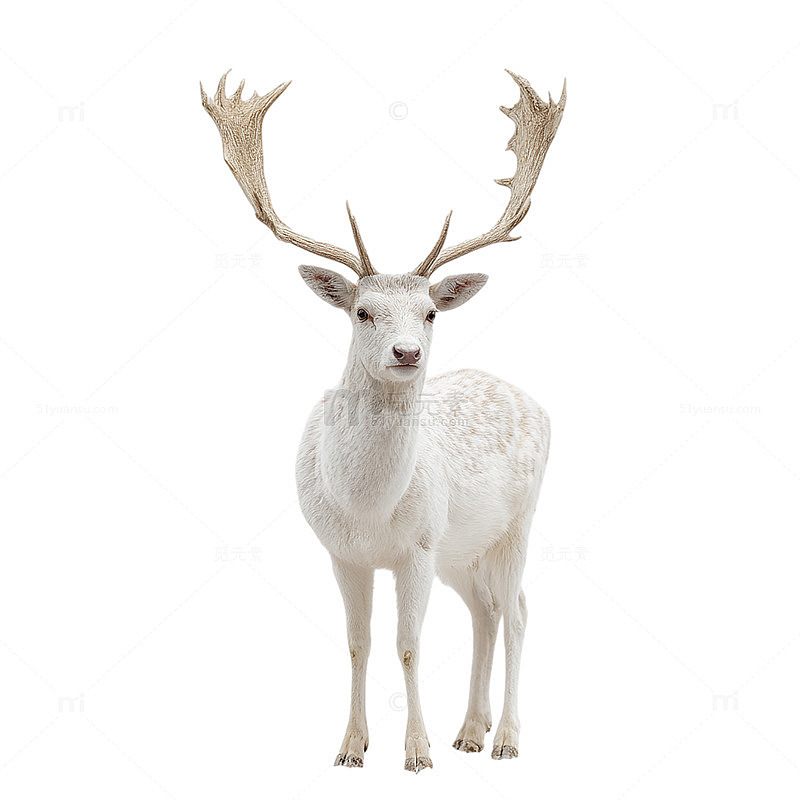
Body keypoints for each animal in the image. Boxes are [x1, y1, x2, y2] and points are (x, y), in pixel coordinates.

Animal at [200, 68, 565, 772]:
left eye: (431, 311)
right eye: (362, 310)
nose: (406, 353)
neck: (367, 506)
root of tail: (534, 400)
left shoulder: (417, 546)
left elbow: (408, 643)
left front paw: (417, 752)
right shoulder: (343, 552)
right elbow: (357, 643)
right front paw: (350, 746)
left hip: (518, 522)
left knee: (518, 610)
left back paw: (505, 738)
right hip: (461, 547)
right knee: (484, 612)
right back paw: (470, 730)